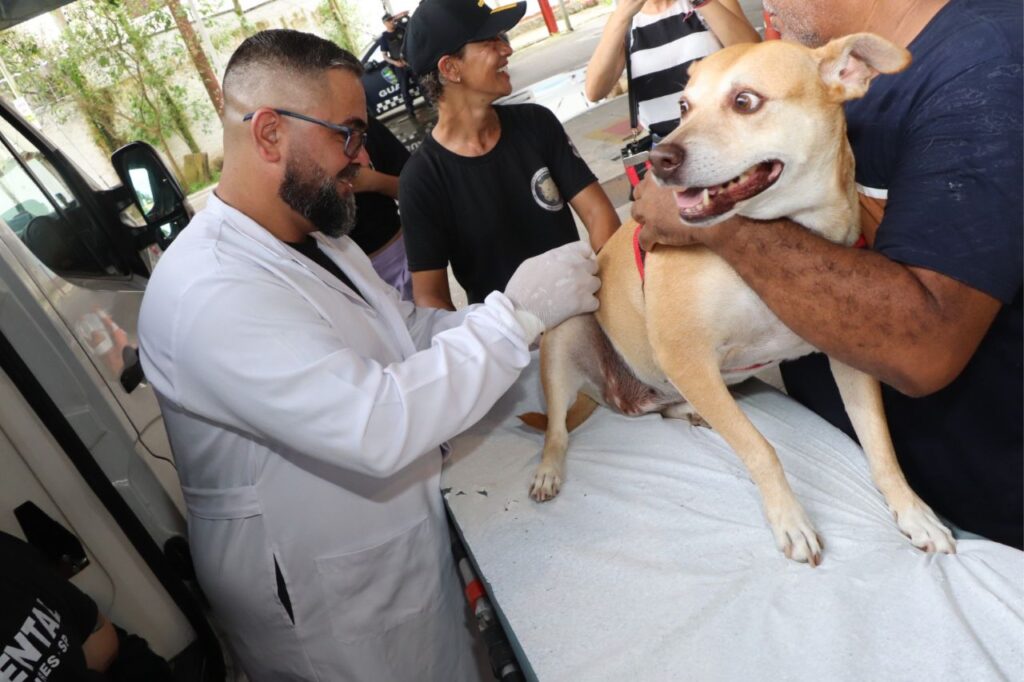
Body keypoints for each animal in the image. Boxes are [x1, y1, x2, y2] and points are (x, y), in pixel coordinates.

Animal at [532, 33, 954, 561]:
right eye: (684, 106)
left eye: (744, 101)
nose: (660, 159)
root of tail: (617, 398)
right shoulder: (685, 356)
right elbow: (760, 449)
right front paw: (791, 520)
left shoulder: (851, 356)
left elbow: (881, 448)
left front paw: (913, 513)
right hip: (565, 334)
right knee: (557, 429)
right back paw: (549, 469)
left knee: (666, 405)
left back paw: (687, 409)